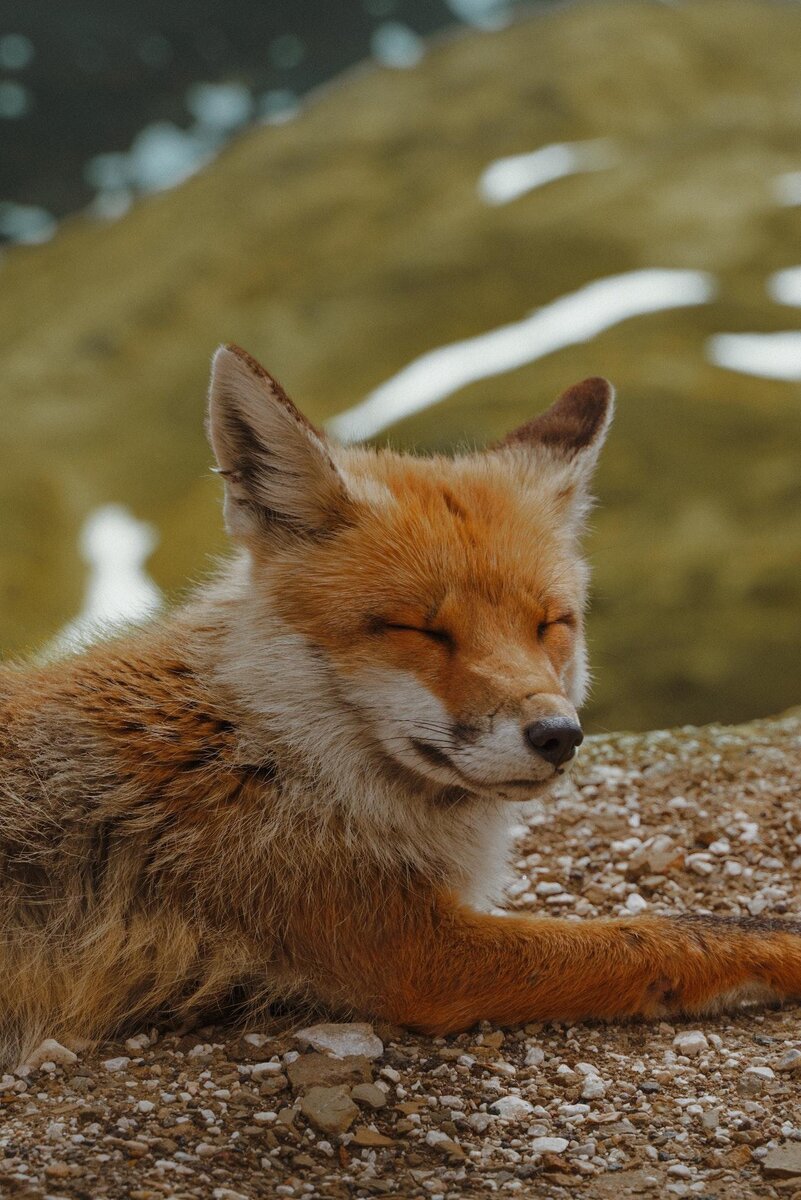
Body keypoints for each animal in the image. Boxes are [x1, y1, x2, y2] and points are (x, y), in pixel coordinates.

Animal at [1, 340, 801, 1070]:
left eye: (550, 623)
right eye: (423, 630)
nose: (557, 735)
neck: (262, 748)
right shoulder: (413, 949)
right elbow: (665, 934)